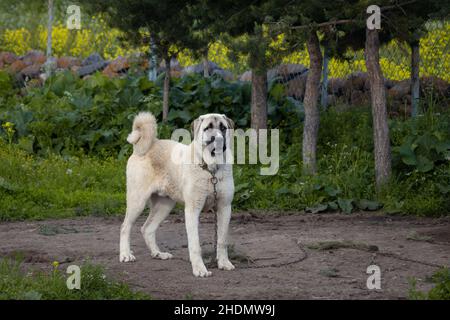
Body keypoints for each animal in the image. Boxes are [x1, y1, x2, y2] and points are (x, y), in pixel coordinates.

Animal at [119, 112, 236, 278]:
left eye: (223, 128)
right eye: (208, 128)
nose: (218, 139)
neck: (210, 169)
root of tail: (145, 147)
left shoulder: (225, 208)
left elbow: (222, 240)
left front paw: (224, 263)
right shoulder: (192, 211)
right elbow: (195, 245)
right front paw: (199, 269)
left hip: (164, 206)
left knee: (147, 229)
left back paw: (158, 254)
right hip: (137, 201)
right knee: (125, 227)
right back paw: (125, 254)